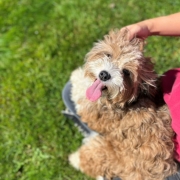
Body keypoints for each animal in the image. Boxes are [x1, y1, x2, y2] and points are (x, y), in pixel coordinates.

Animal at [68, 29, 176, 180]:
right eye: (108, 55)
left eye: (126, 72)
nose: (104, 75)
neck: (129, 102)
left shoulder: (94, 111)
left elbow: (82, 93)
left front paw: (76, 75)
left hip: (108, 156)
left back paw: (74, 158)